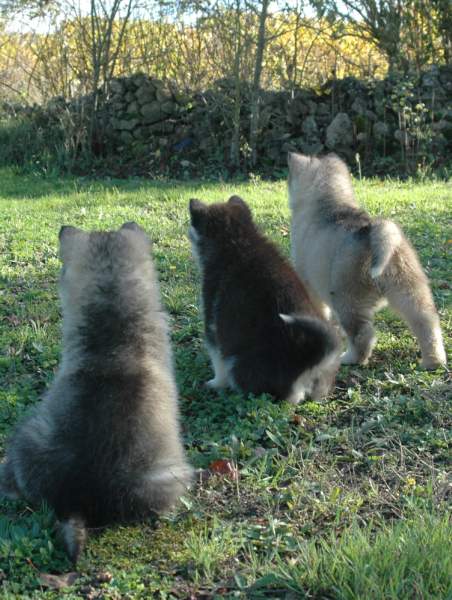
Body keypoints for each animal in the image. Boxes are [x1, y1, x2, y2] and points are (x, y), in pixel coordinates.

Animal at [188, 196, 340, 403]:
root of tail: (305, 365)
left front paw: (215, 383)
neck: (237, 241)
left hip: (237, 362)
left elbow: (217, 359)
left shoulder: (212, 322)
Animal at [288, 152, 447, 369]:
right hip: (409, 290)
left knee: (362, 334)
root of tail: (374, 230)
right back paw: (434, 361)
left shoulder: (308, 282)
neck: (331, 203)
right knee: (426, 323)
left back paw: (350, 359)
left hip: (346, 297)